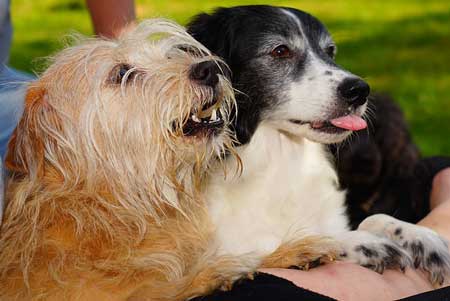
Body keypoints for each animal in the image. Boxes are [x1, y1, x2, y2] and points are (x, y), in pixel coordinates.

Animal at [188, 5, 450, 284]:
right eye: (280, 51)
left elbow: (376, 217)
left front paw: (422, 238)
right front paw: (361, 243)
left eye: (330, 51)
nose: (359, 90)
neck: (281, 159)